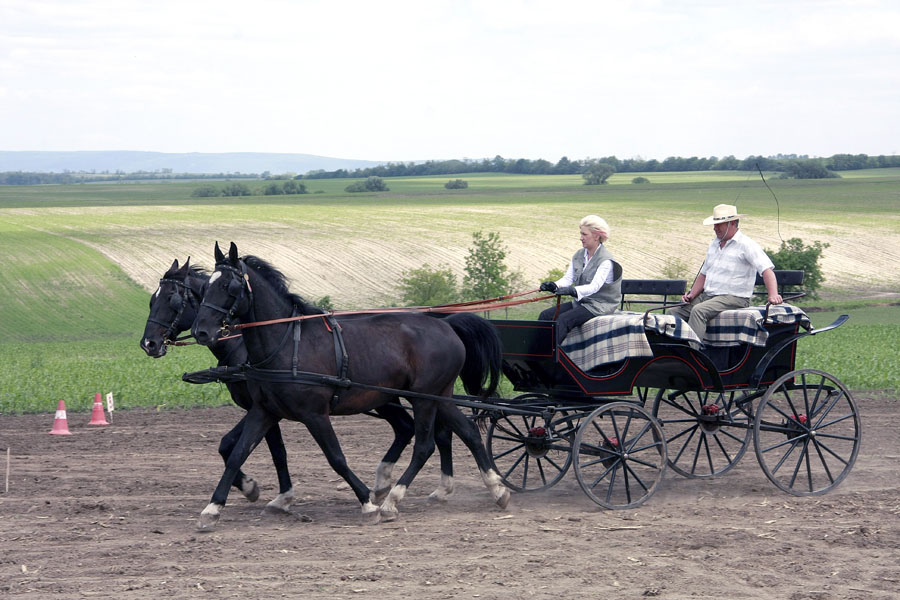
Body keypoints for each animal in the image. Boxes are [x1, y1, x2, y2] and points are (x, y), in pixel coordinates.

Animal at [191, 241, 510, 528]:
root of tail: (447, 324)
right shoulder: (263, 411)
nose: (201, 331)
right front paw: (213, 509)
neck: (287, 344)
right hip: (439, 396)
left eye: (230, 287)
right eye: (205, 288)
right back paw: (497, 488)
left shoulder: (315, 415)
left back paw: (391, 501)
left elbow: (336, 458)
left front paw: (368, 502)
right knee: (468, 432)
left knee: (424, 445)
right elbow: (237, 455)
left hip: (423, 398)